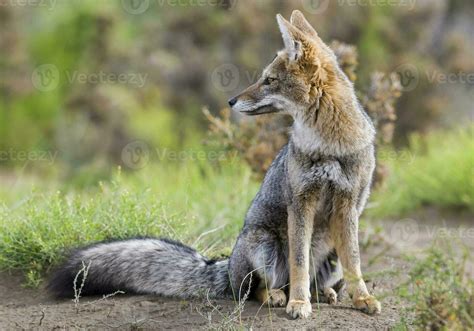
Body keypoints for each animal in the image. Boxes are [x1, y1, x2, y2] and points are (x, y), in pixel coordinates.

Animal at [48, 10, 382, 320]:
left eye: (269, 80)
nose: (231, 101)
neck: (330, 144)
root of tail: (227, 264)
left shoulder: (348, 205)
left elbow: (355, 263)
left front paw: (363, 299)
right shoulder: (301, 203)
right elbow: (299, 264)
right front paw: (299, 304)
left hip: (328, 255)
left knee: (319, 278)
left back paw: (325, 293)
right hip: (265, 247)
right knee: (257, 289)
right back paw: (280, 296)